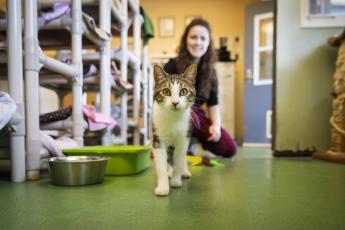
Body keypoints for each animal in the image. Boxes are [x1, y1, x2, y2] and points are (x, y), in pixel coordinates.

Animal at [151, 63, 196, 196]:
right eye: (166, 91)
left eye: (184, 91)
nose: (175, 103)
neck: (173, 119)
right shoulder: (158, 138)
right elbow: (161, 164)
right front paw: (163, 187)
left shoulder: (184, 138)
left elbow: (179, 159)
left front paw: (176, 180)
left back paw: (183, 172)